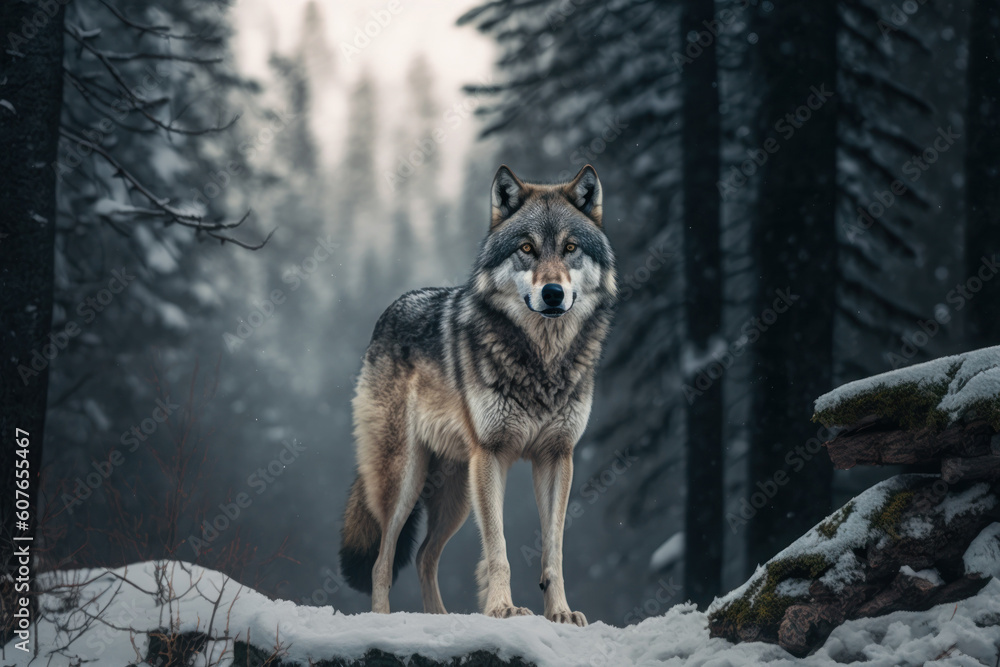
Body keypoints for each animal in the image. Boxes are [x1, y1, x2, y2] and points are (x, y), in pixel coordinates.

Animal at [339, 164, 616, 626]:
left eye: (570, 248)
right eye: (527, 248)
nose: (553, 293)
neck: (542, 360)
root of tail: (385, 316)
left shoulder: (557, 457)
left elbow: (554, 550)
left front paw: (560, 612)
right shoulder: (492, 455)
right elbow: (498, 549)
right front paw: (503, 608)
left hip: (455, 494)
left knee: (424, 556)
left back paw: (439, 618)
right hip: (406, 478)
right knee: (383, 559)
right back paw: (383, 618)